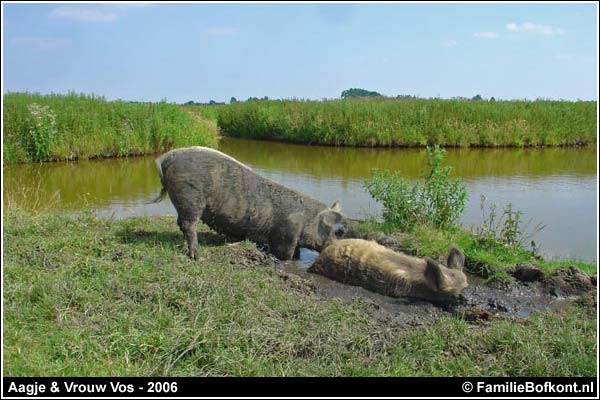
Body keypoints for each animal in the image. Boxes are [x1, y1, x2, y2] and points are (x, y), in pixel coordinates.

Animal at [152, 146, 344, 260]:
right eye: (330, 229)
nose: (335, 244)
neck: (307, 219)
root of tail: (167, 158)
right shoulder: (285, 235)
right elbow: (286, 254)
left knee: (180, 223)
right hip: (190, 197)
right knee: (189, 225)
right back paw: (197, 256)